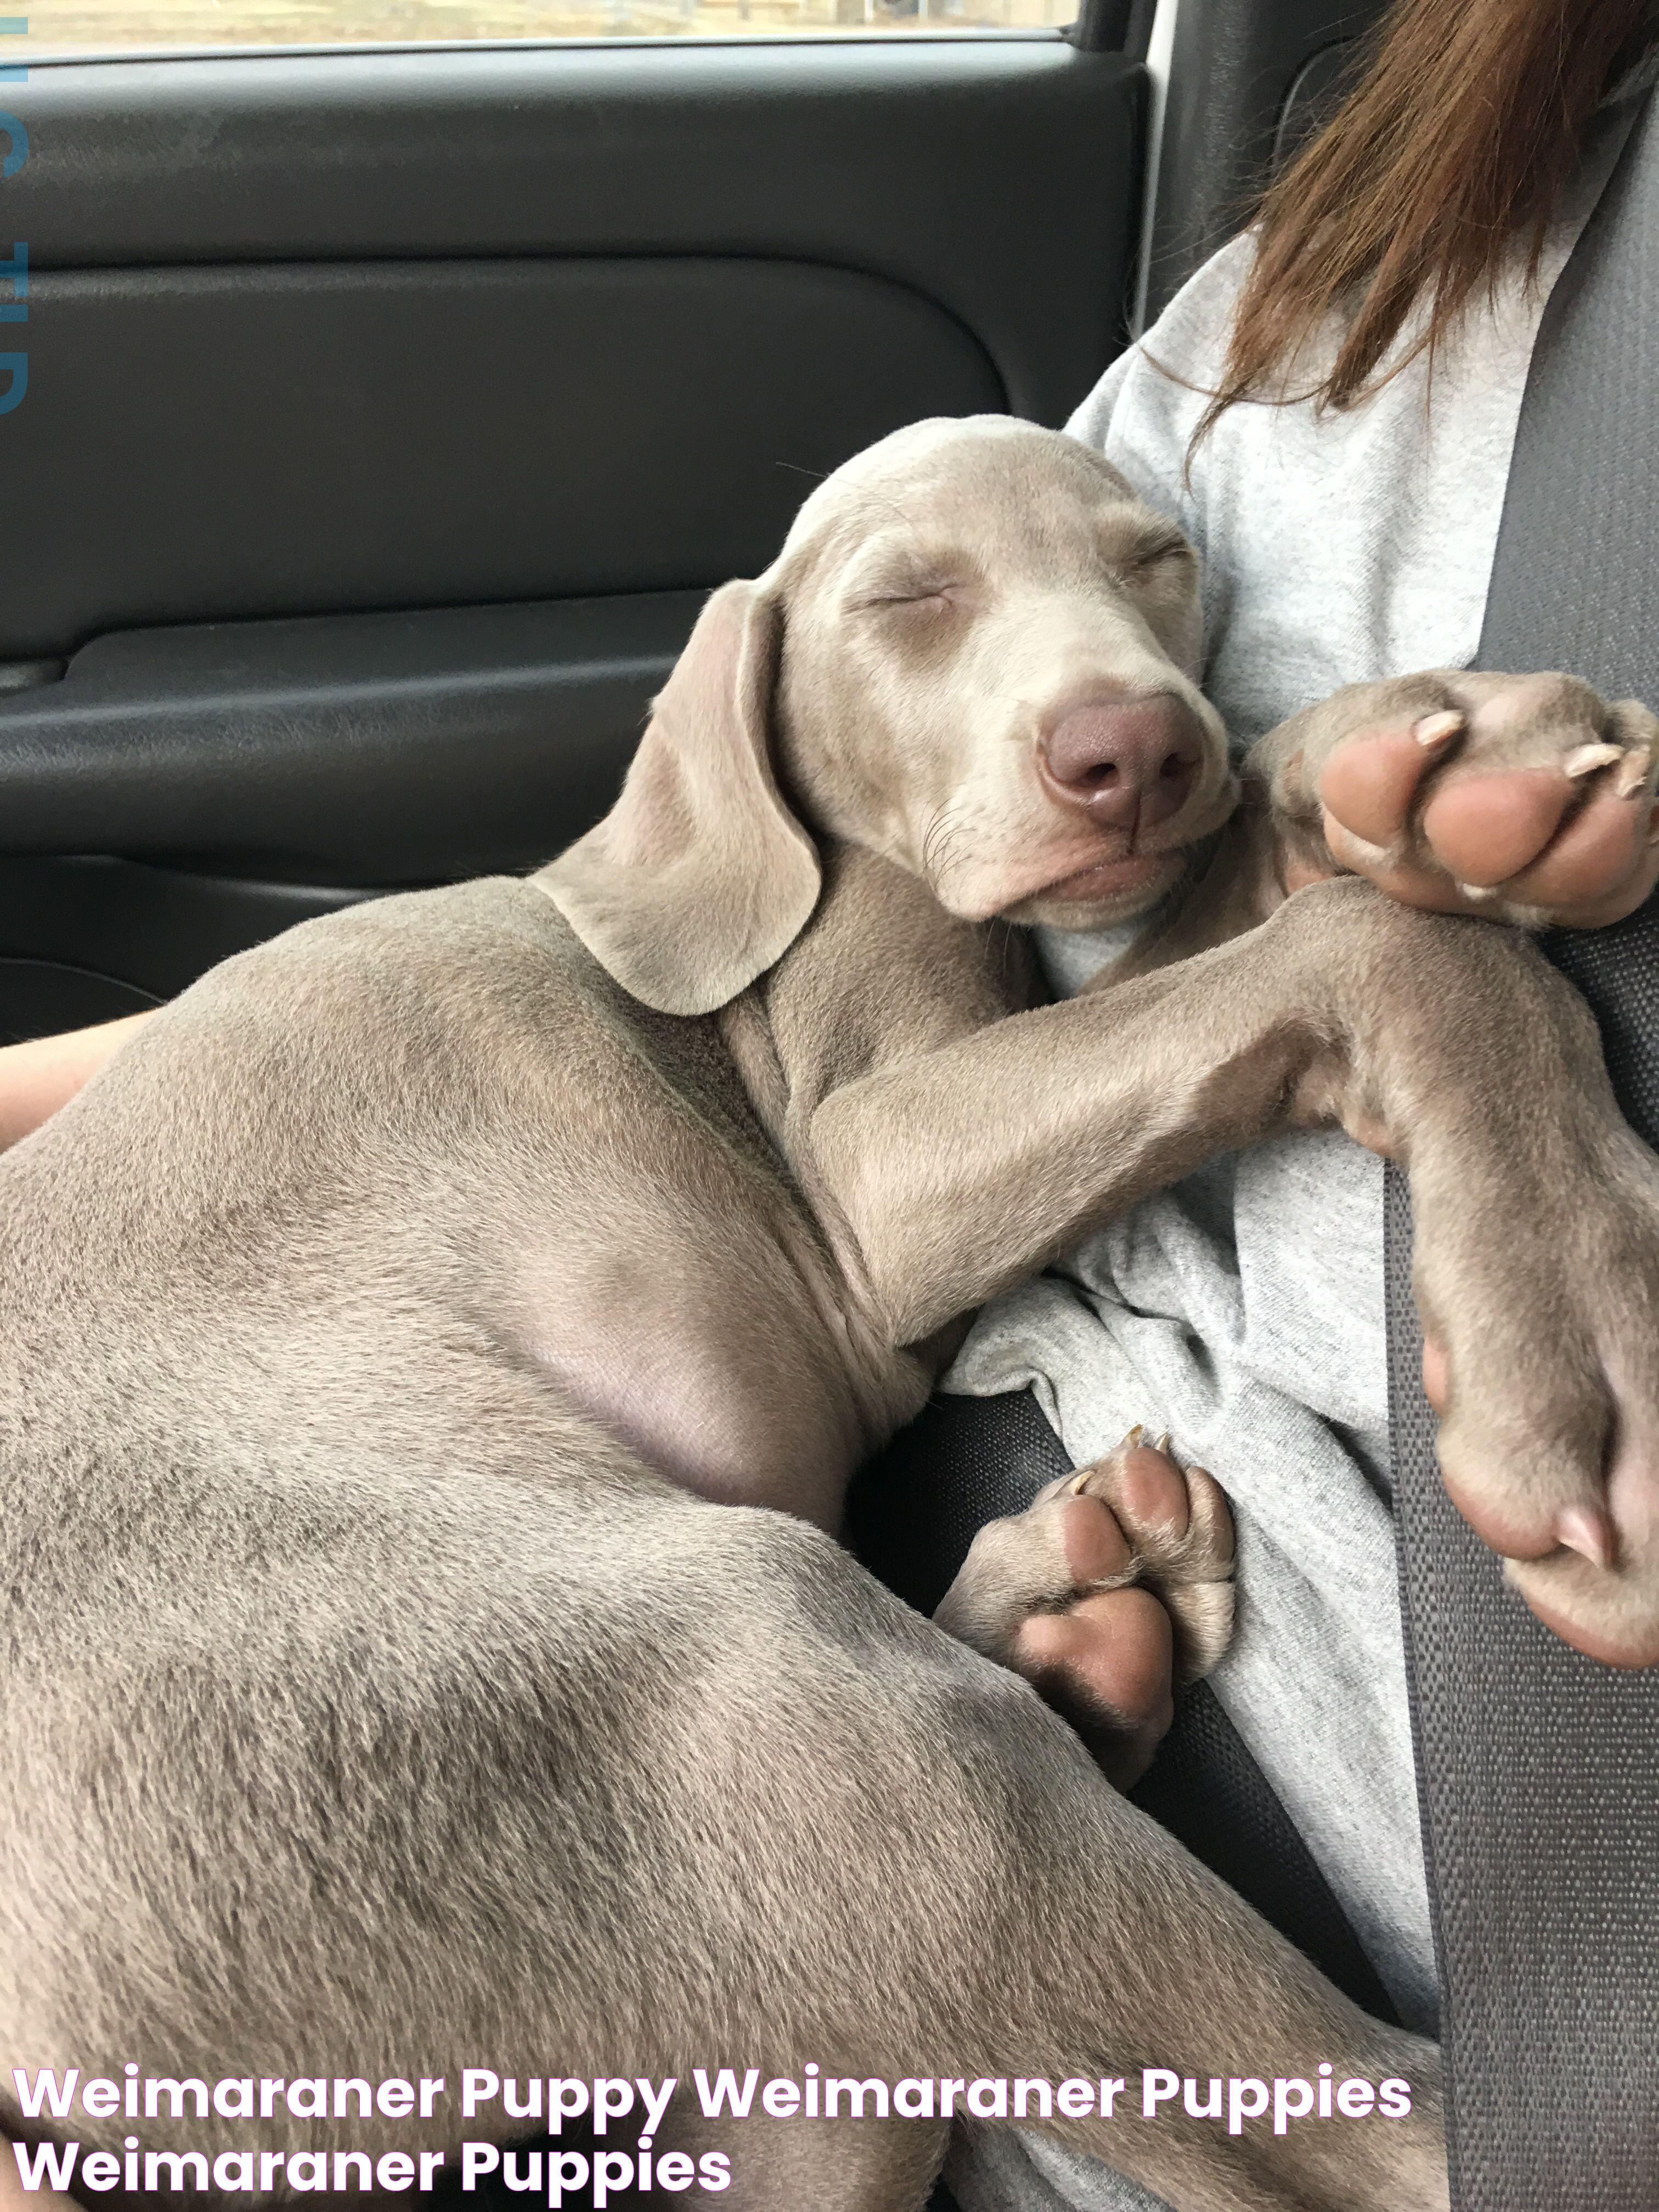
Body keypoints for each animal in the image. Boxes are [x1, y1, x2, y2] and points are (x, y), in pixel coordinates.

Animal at [3, 416, 1659, 2212]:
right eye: (907, 598)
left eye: (1157, 561)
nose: (1135, 750)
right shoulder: (864, 1179)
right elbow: (1364, 950)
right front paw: (1582, 1332)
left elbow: (1238, 896)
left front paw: (1449, 772)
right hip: (722, 1692)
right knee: (1346, 2128)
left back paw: (1072, 1616)